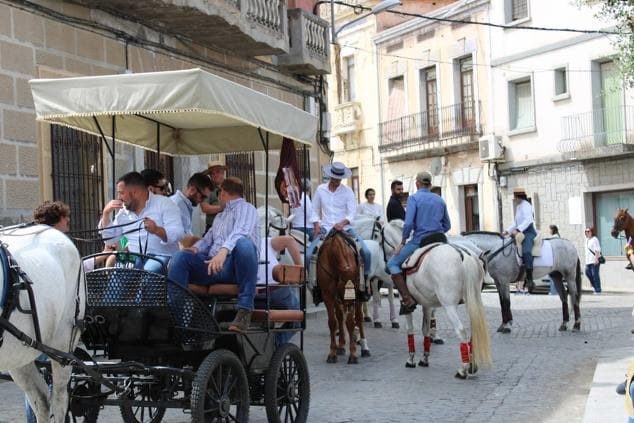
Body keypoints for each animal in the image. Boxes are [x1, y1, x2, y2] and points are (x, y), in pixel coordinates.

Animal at [316, 229, 370, 364]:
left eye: (355, 283)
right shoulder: (328, 295)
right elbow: (332, 322)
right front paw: (332, 353)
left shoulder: (353, 297)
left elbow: (350, 323)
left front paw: (353, 354)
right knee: (340, 317)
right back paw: (340, 346)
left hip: (357, 300)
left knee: (359, 318)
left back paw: (364, 348)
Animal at [380, 222, 488, 378]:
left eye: (379, 238)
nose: (385, 266)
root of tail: (463, 255)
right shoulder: (427, 304)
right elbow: (425, 329)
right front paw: (424, 358)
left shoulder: (406, 303)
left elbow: (410, 329)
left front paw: (411, 359)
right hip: (472, 300)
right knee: (473, 330)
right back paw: (472, 365)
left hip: (449, 305)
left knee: (461, 331)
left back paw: (463, 369)